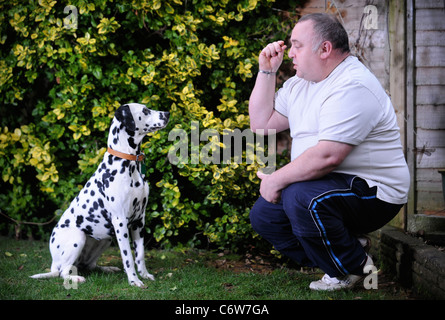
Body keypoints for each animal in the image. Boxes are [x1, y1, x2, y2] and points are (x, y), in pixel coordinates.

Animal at [29, 103, 168, 288]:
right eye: (145, 110)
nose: (167, 113)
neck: (129, 164)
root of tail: (53, 262)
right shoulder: (120, 222)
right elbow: (128, 257)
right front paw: (134, 280)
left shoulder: (139, 220)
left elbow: (140, 255)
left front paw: (144, 275)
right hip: (79, 237)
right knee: (63, 272)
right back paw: (76, 278)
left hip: (105, 238)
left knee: (89, 265)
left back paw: (108, 268)